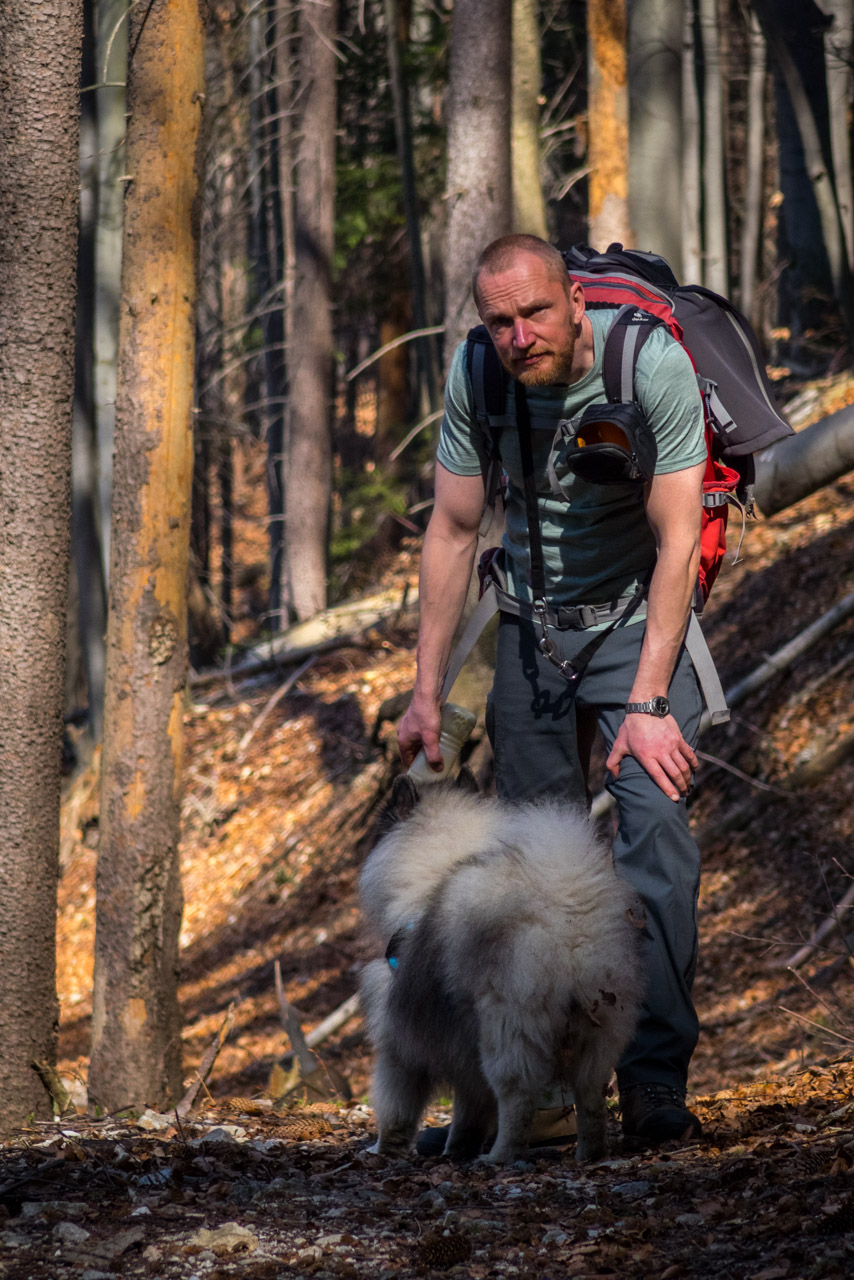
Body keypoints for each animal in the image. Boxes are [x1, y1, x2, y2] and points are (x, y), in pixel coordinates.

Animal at [358, 773, 645, 1167]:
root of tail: (567, 912)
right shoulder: (464, 1050)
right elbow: (469, 1110)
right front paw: (457, 1149)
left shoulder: (398, 1044)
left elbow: (396, 1108)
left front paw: (385, 1149)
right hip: (598, 1029)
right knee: (590, 1097)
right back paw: (590, 1154)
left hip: (507, 1028)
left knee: (517, 1097)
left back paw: (500, 1156)